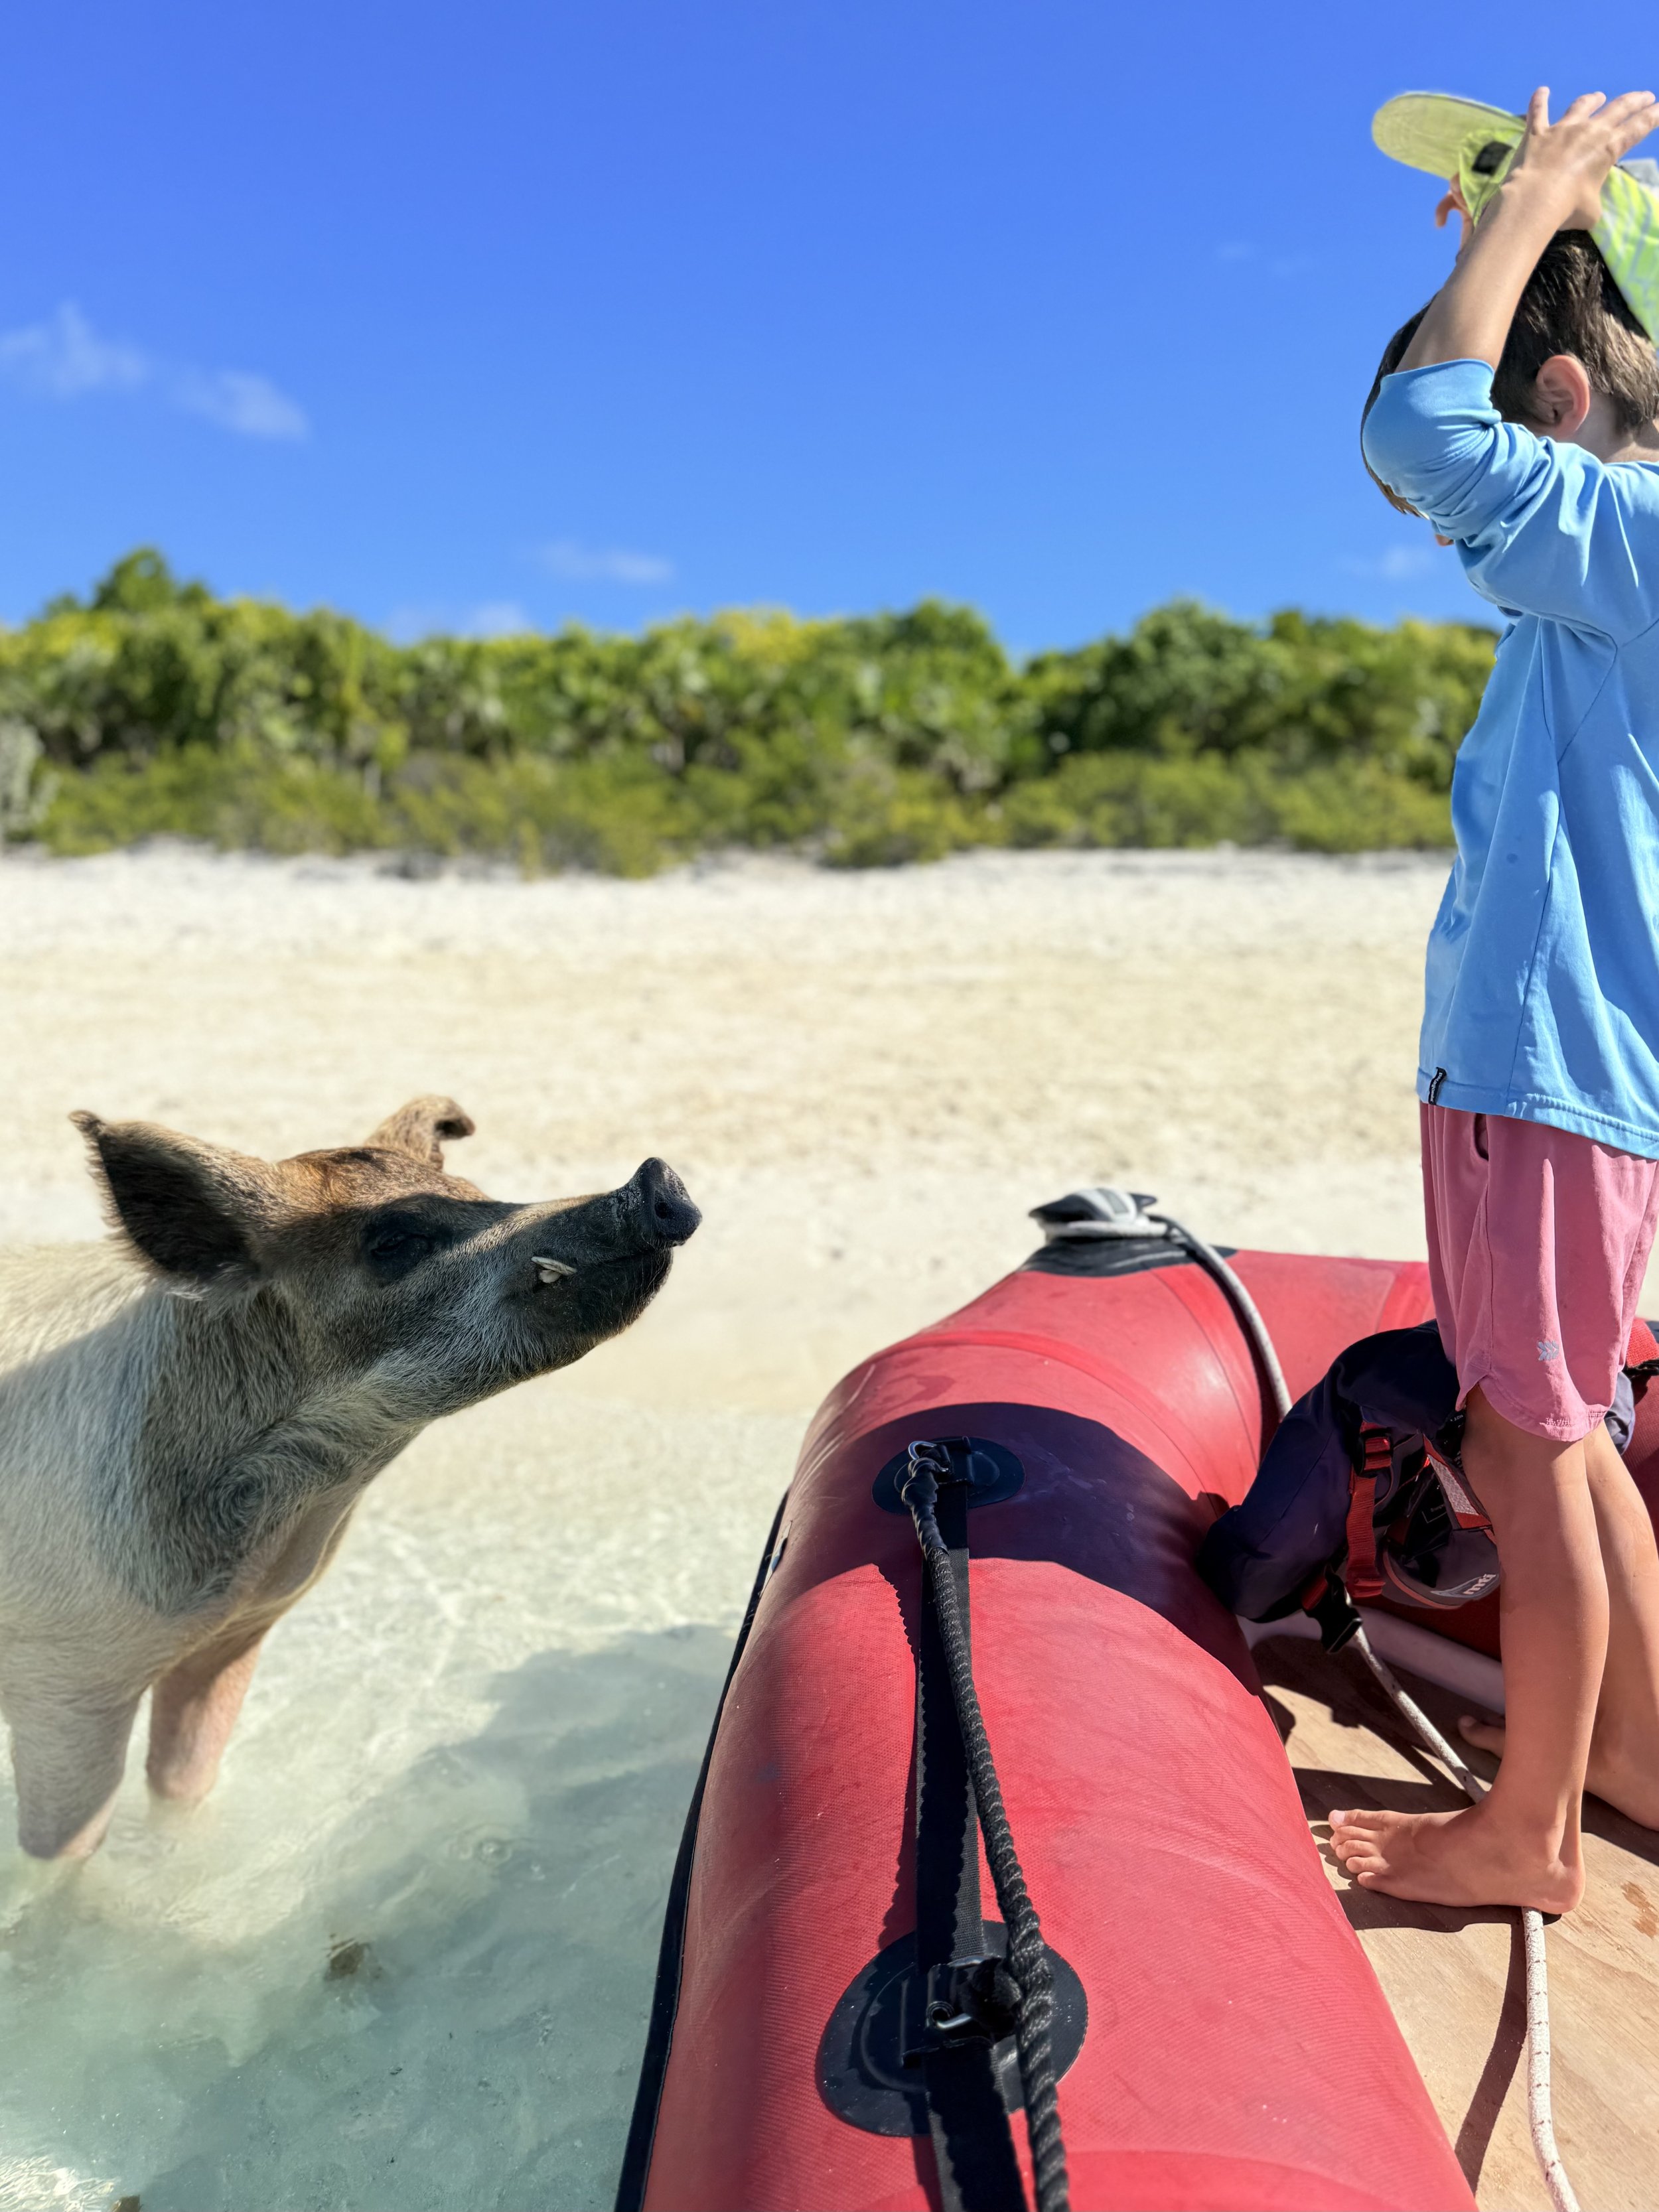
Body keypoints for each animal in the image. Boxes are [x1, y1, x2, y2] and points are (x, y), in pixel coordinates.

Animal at [0, 1097, 699, 1859]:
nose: (656, 1179)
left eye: (476, 1194)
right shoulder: (63, 1677)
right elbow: (63, 1851)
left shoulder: (241, 1631)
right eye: (394, 1239)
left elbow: (184, 1784)